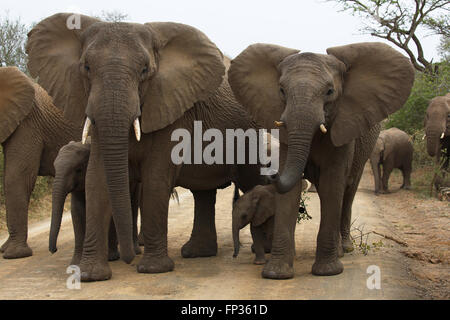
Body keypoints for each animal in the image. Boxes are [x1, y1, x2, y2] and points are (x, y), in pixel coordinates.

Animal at [27, 13, 264, 282]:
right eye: (86, 68)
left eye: (144, 71)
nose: (129, 257)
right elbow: (96, 179)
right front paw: (89, 275)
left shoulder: (171, 106)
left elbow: (155, 179)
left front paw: (152, 270)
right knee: (203, 191)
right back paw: (196, 254)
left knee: (248, 181)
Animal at [229, 42, 414, 278]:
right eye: (281, 91)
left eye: (329, 92)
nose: (270, 172)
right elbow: (291, 190)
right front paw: (276, 274)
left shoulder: (343, 127)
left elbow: (332, 183)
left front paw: (328, 271)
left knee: (348, 192)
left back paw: (344, 249)